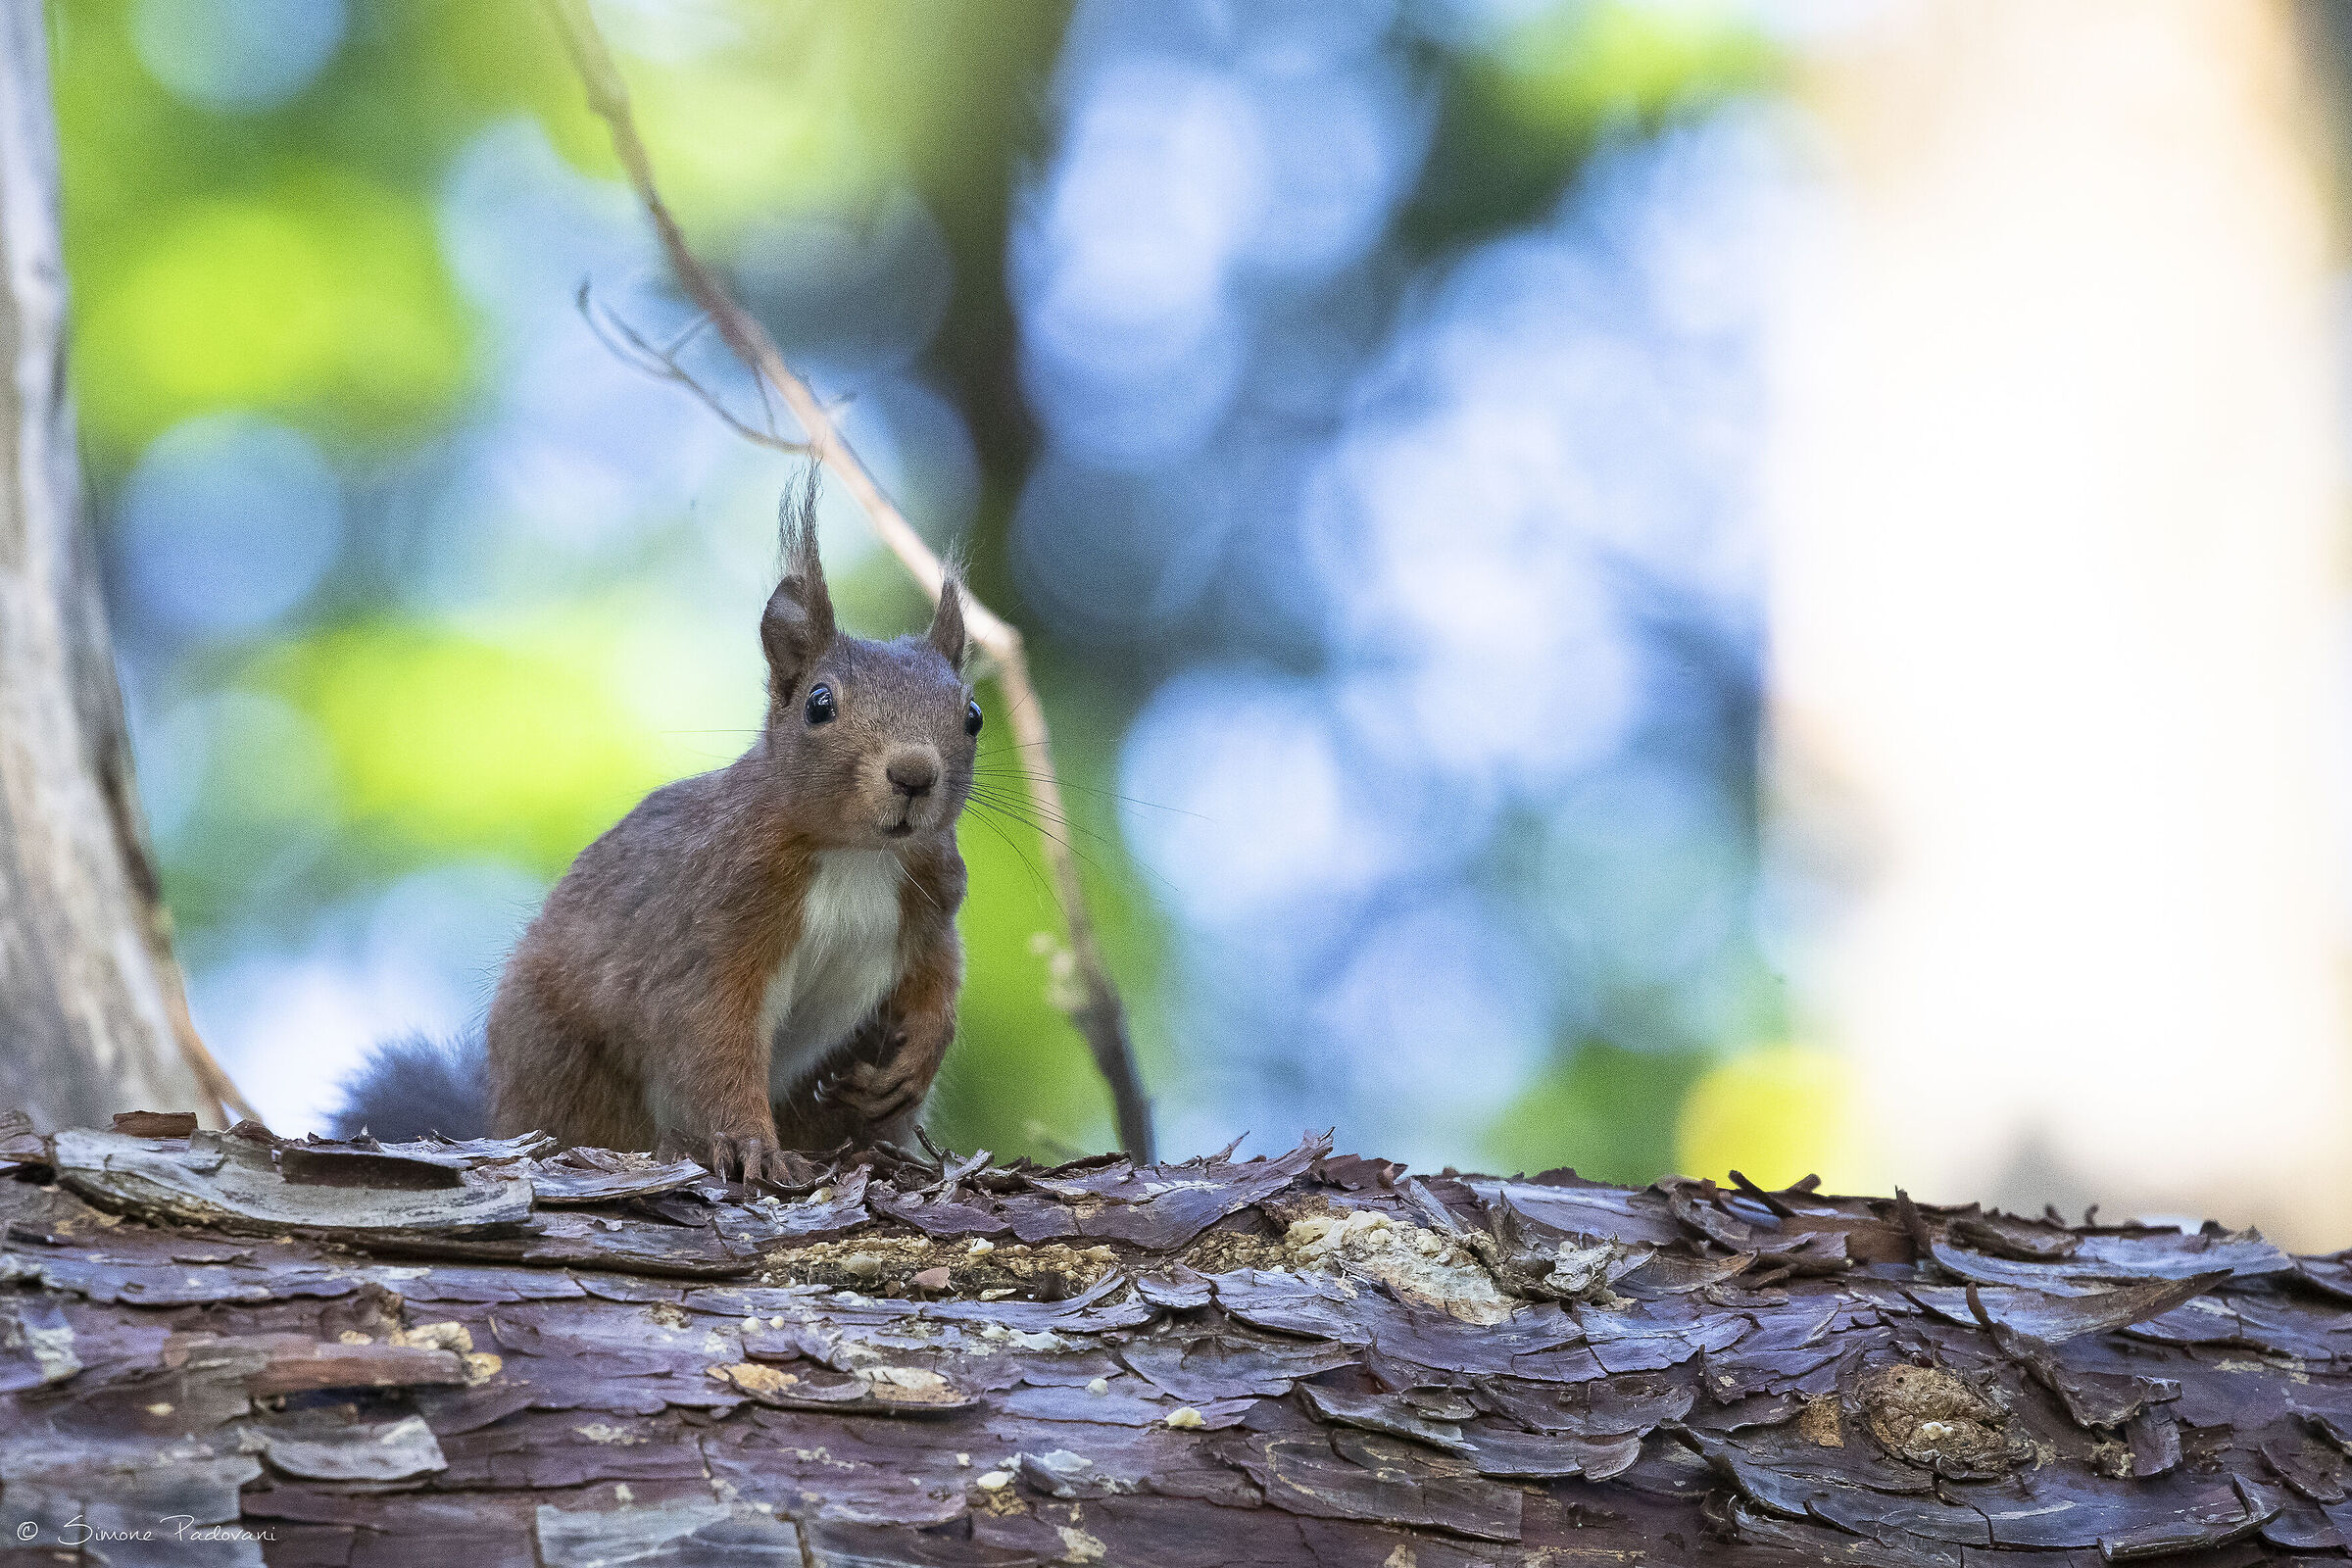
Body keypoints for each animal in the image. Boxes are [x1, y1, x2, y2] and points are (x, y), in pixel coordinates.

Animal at [335, 479, 977, 1181]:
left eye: (972, 715)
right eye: (820, 704)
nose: (914, 774)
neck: (856, 854)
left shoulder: (932, 900)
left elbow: (937, 984)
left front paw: (920, 1055)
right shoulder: (716, 921)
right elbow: (710, 1034)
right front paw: (750, 1144)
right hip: (569, 1066)